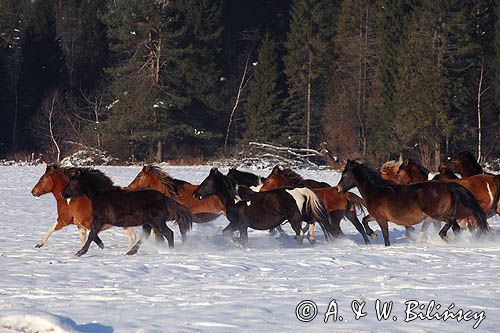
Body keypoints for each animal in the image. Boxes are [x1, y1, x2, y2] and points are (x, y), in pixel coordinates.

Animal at [192, 167, 336, 245]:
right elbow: (226, 233)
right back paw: (311, 239)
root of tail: (302, 190)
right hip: (303, 215)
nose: (195, 194)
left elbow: (242, 239)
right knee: (313, 221)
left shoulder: (240, 224)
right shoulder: (237, 224)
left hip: (294, 219)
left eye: (206, 182)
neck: (236, 199)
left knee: (300, 232)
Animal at [336, 160, 488, 245]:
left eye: (344, 175)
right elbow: (364, 220)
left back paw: (443, 236)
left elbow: (385, 236)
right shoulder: (376, 215)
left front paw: (377, 238)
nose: (338, 189)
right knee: (455, 226)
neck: (376, 190)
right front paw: (372, 235)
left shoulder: (381, 218)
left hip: (436, 214)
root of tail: (448, 185)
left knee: (450, 222)